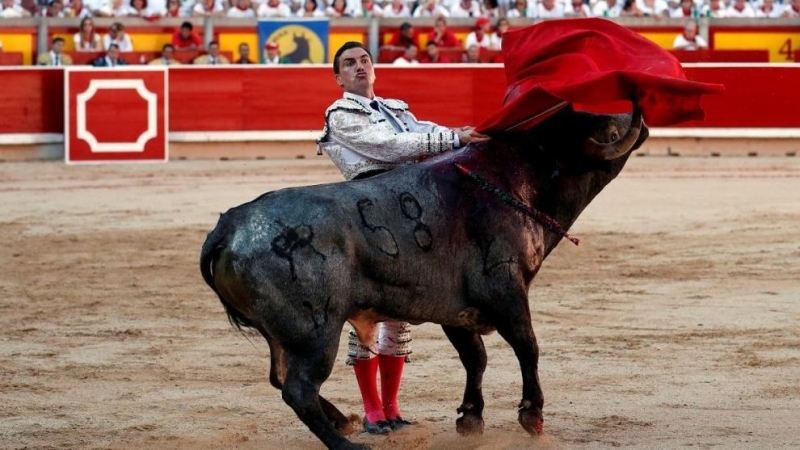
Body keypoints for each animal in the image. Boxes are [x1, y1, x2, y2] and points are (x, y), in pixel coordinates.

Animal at [200, 103, 648, 448]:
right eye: (608, 128)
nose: (639, 119)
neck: (520, 177)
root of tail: (230, 224)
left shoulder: (455, 309)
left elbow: (475, 358)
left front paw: (470, 419)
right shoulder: (505, 287)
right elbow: (527, 346)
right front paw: (532, 417)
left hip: (281, 333)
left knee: (281, 378)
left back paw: (346, 421)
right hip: (315, 331)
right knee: (298, 388)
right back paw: (347, 443)